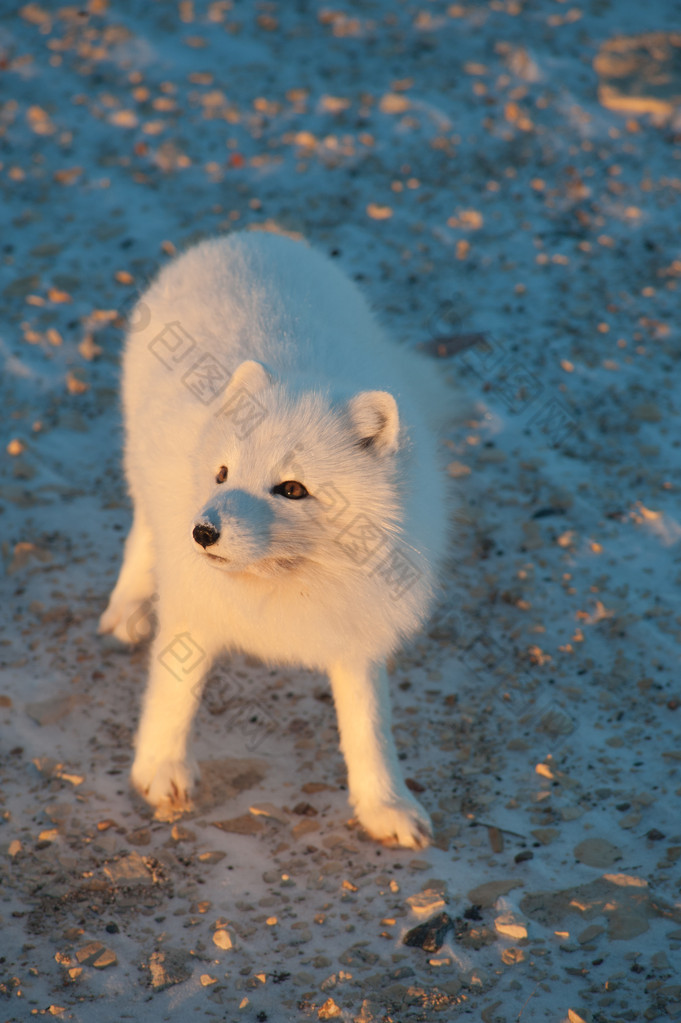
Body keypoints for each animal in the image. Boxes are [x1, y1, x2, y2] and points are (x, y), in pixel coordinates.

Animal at [99, 230, 449, 847]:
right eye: (222, 474)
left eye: (292, 489)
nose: (202, 532)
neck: (284, 579)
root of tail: (247, 237)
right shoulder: (194, 605)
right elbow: (173, 691)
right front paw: (160, 771)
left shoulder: (356, 630)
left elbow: (369, 725)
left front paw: (385, 805)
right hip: (140, 464)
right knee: (142, 528)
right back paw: (128, 607)